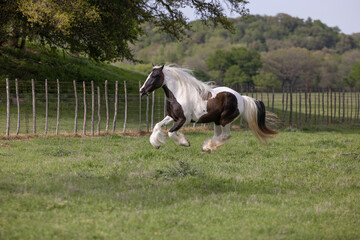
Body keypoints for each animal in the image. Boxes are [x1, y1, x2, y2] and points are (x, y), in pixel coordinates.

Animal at [139, 64, 278, 152]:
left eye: (155, 76)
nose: (141, 90)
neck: (179, 94)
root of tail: (241, 97)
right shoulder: (172, 117)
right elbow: (157, 125)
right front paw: (156, 144)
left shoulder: (183, 120)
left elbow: (171, 133)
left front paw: (185, 143)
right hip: (217, 121)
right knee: (219, 135)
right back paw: (208, 147)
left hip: (224, 120)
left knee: (226, 135)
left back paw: (207, 147)